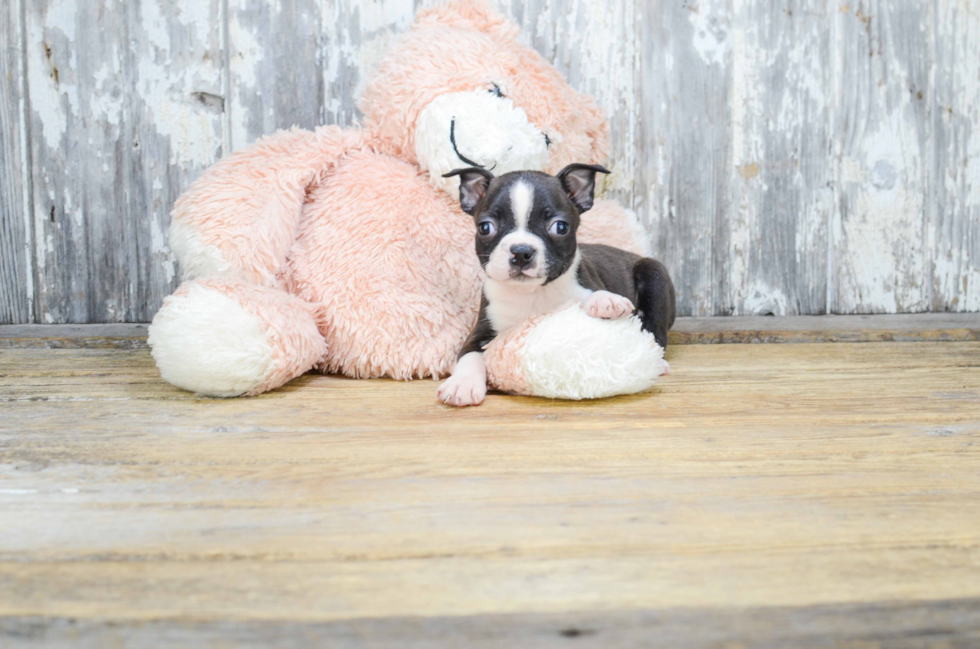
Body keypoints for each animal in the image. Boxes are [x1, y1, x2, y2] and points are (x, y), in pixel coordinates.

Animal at [436, 163, 672, 404]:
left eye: (560, 227)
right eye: (485, 228)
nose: (521, 251)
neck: (531, 293)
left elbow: (588, 294)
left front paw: (605, 300)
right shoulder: (480, 331)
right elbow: (469, 355)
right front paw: (462, 384)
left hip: (655, 274)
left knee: (655, 331)